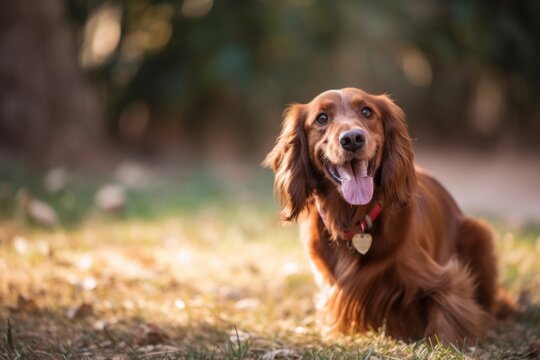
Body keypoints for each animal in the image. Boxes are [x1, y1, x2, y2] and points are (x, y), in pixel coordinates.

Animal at [264, 88, 512, 346]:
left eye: (367, 111)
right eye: (322, 118)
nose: (352, 139)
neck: (354, 220)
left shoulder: (447, 280)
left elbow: (445, 314)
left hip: (479, 233)